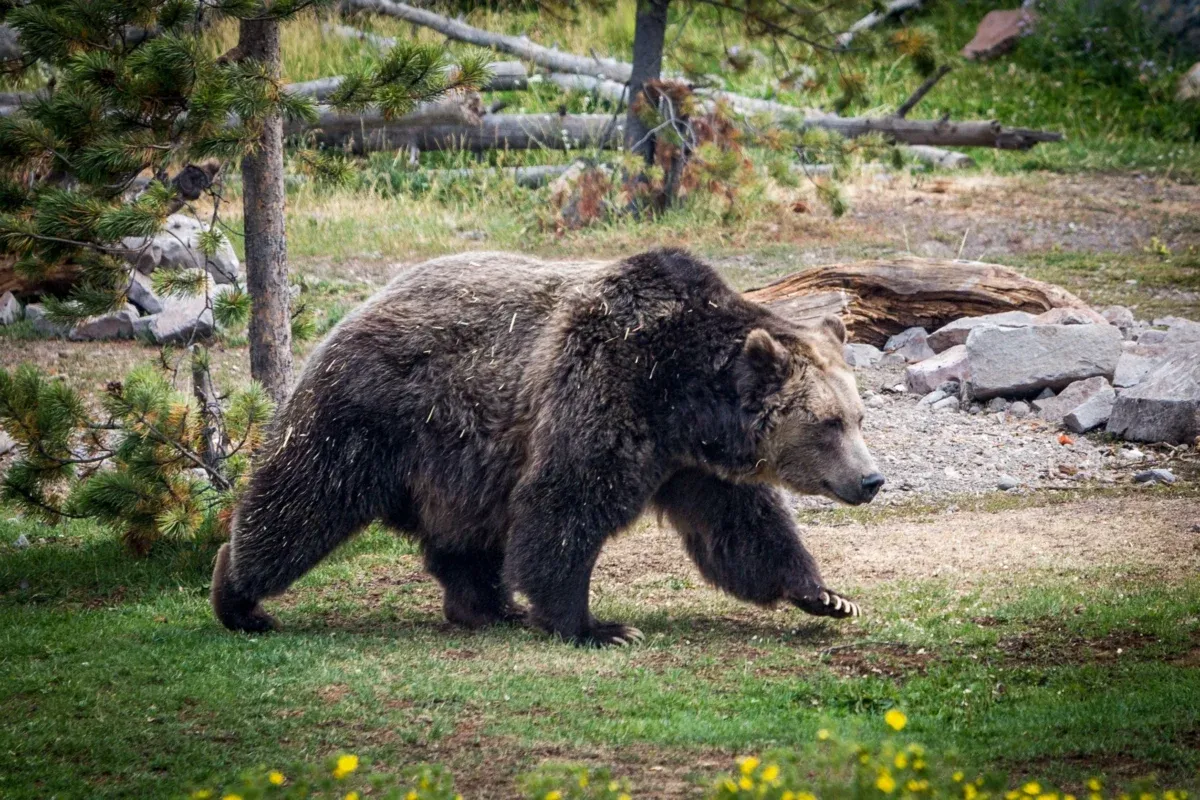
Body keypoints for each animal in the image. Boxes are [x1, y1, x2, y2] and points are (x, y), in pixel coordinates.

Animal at [211, 248, 885, 645]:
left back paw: (487, 605)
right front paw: (596, 626)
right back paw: (240, 597)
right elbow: (565, 507)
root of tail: (354, 310)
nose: (871, 480)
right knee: (302, 504)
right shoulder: (604, 385)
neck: (682, 392)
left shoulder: (689, 462)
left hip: (460, 460)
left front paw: (828, 596)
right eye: (828, 423)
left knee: (465, 538)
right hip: (372, 415)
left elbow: (741, 528)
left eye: (858, 417)